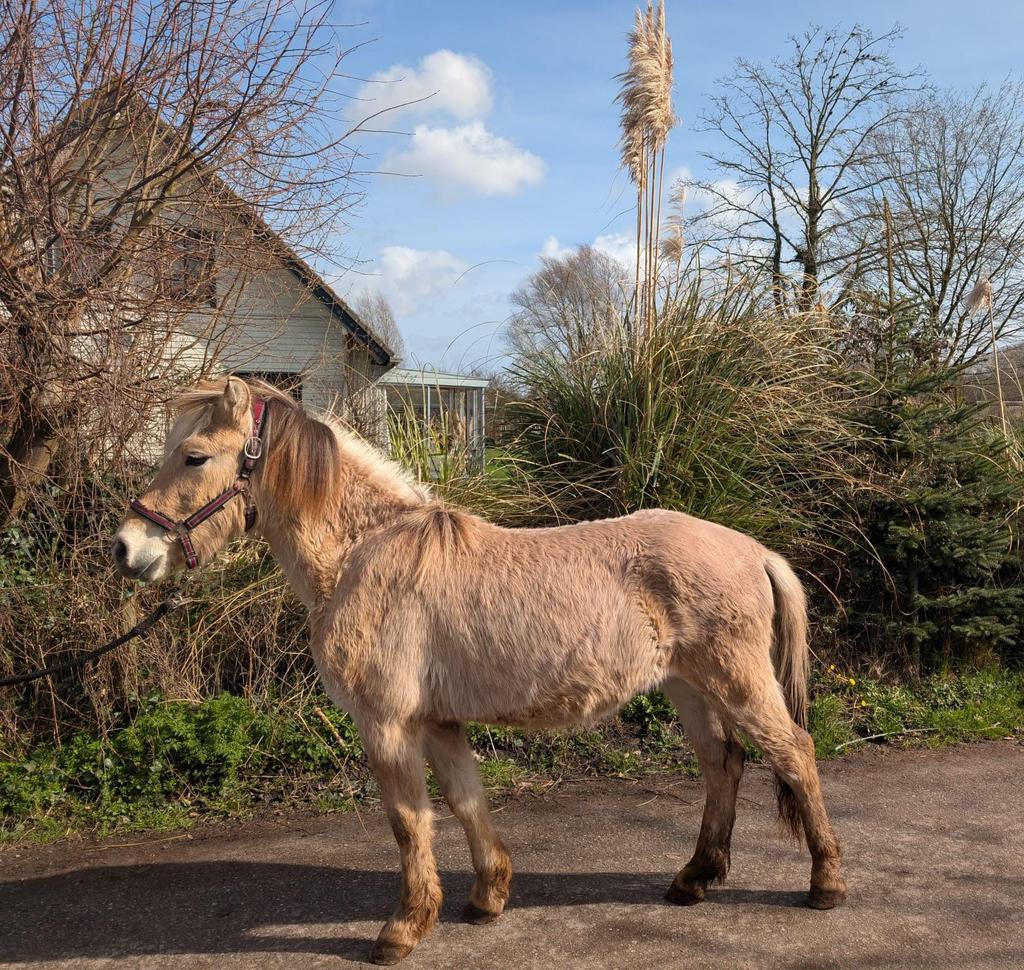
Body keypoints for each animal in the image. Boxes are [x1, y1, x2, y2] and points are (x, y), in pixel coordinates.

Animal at [111, 377, 847, 965]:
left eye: (195, 456)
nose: (126, 548)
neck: (363, 554)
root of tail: (752, 549)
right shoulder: (437, 722)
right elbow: (466, 802)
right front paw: (488, 897)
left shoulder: (387, 725)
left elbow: (410, 823)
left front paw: (403, 930)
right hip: (687, 687)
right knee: (723, 764)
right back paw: (693, 879)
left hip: (736, 680)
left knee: (794, 753)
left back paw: (826, 884)